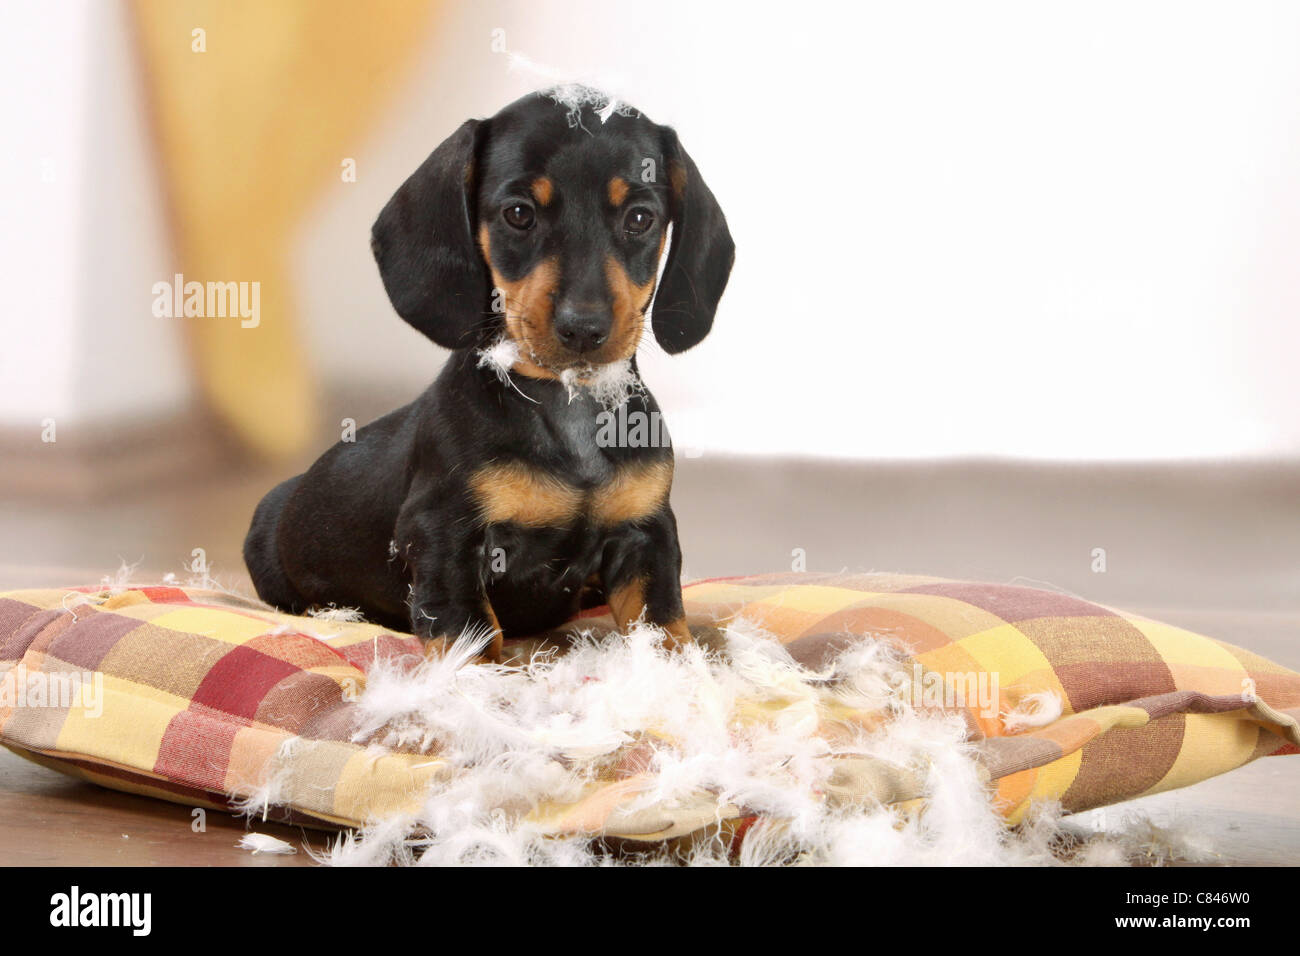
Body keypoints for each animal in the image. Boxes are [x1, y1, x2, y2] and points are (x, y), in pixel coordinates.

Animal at [241, 87, 733, 658]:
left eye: (639, 219)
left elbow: (664, 627)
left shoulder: (645, 534)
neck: (567, 406)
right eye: (518, 213)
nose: (583, 328)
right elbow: (470, 636)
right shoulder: (443, 535)